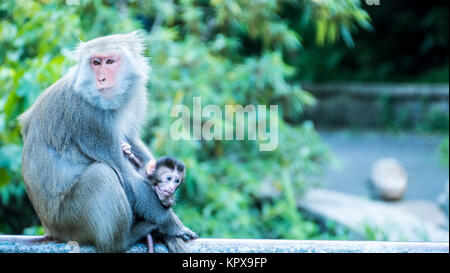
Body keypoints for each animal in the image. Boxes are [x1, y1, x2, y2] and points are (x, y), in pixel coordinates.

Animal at [20, 32, 197, 253]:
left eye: (110, 61)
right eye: (96, 62)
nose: (101, 78)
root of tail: (50, 230)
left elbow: (131, 140)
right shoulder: (90, 120)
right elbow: (126, 177)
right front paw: (172, 225)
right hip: (70, 221)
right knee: (101, 174)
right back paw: (124, 239)